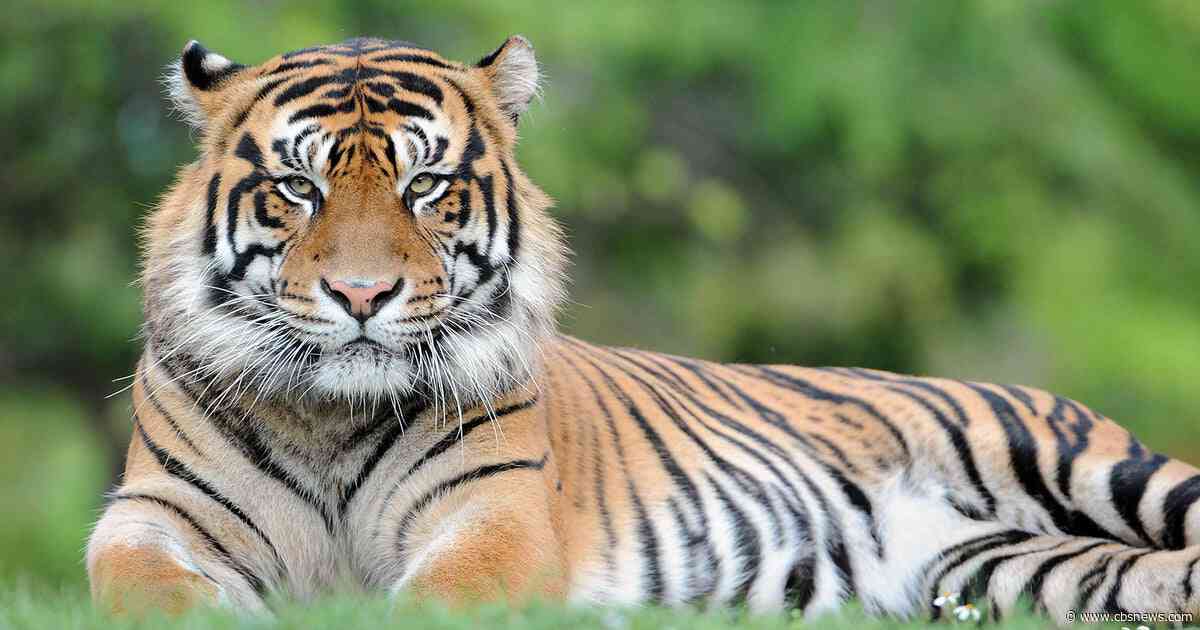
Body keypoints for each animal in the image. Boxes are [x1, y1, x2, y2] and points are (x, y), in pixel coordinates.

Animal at [85, 35, 1200, 625]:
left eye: (426, 186)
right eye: (299, 188)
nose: (364, 296)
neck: (329, 415)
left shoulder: (495, 518)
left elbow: (434, 597)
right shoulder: (151, 515)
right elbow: (146, 590)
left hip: (1095, 467)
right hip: (997, 573)